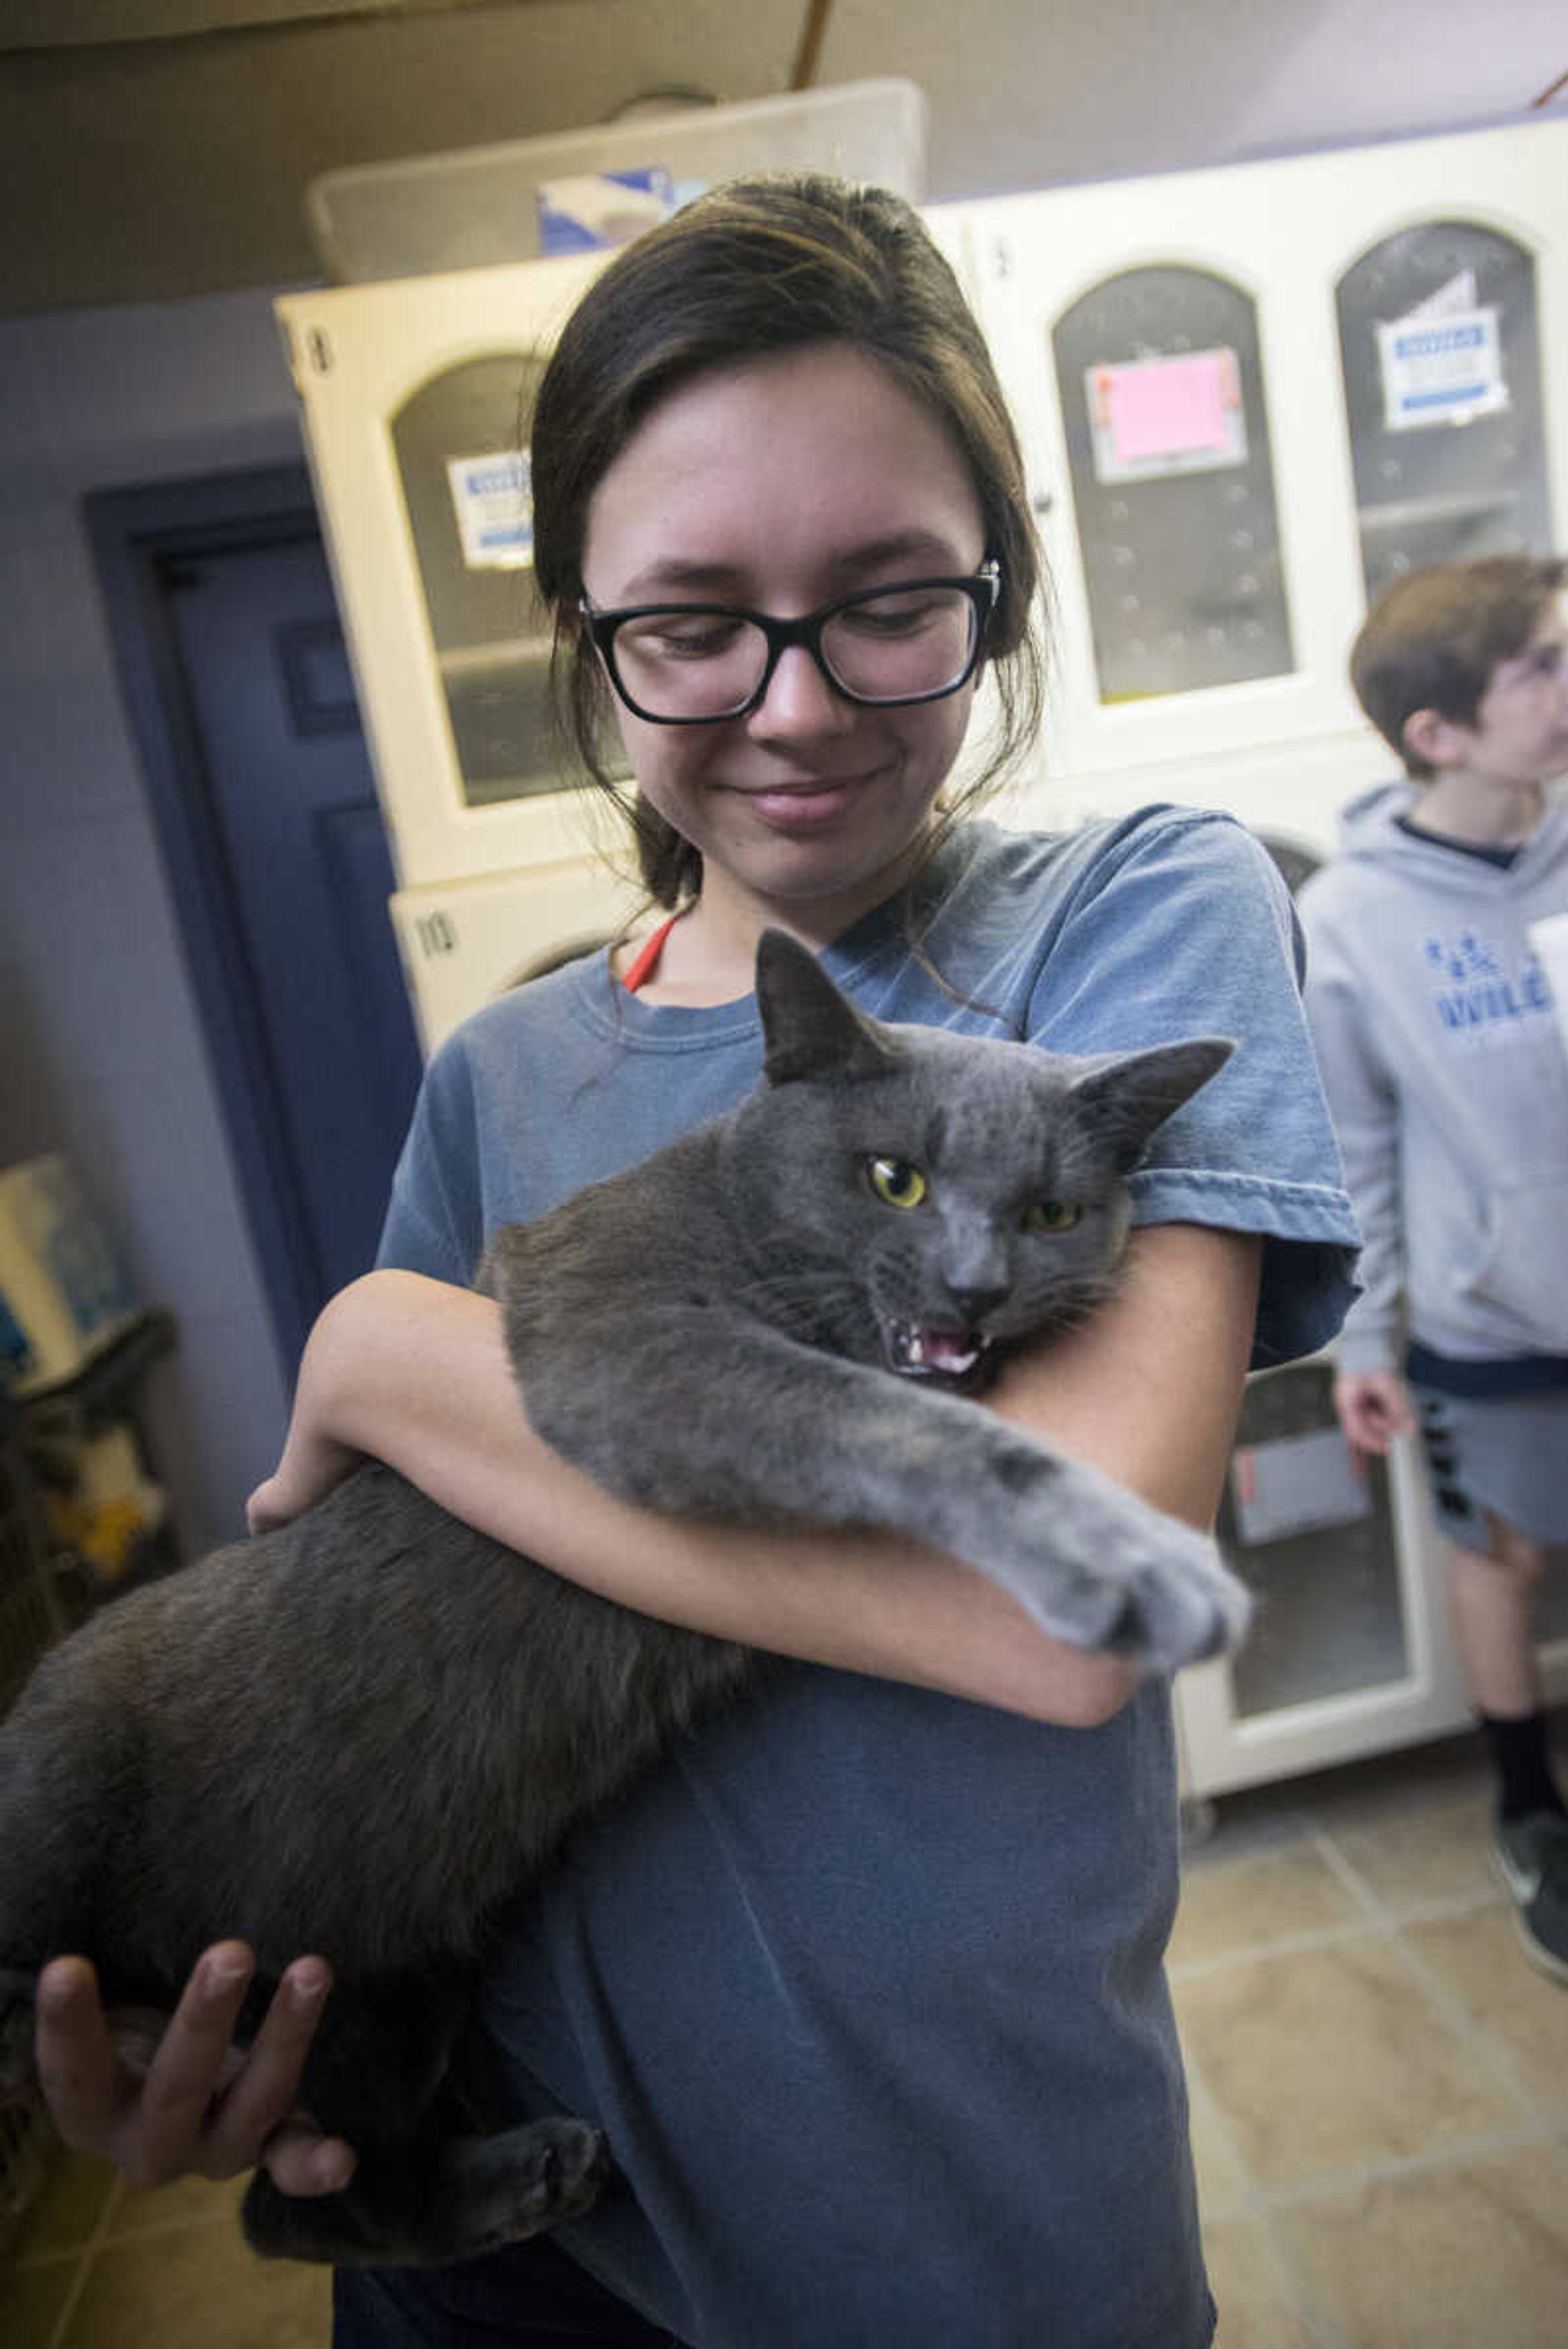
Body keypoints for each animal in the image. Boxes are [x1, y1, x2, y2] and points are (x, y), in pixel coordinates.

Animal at [3, 925, 1250, 2264]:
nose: (975, 1288)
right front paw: (1137, 1560)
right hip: (65, 1796)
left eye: (1052, 1212)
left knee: (307, 2201)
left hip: (390, 1972)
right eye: (895, 1179)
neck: (733, 1211)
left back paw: (522, 2174)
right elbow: (889, 1418)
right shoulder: (627, 1340)